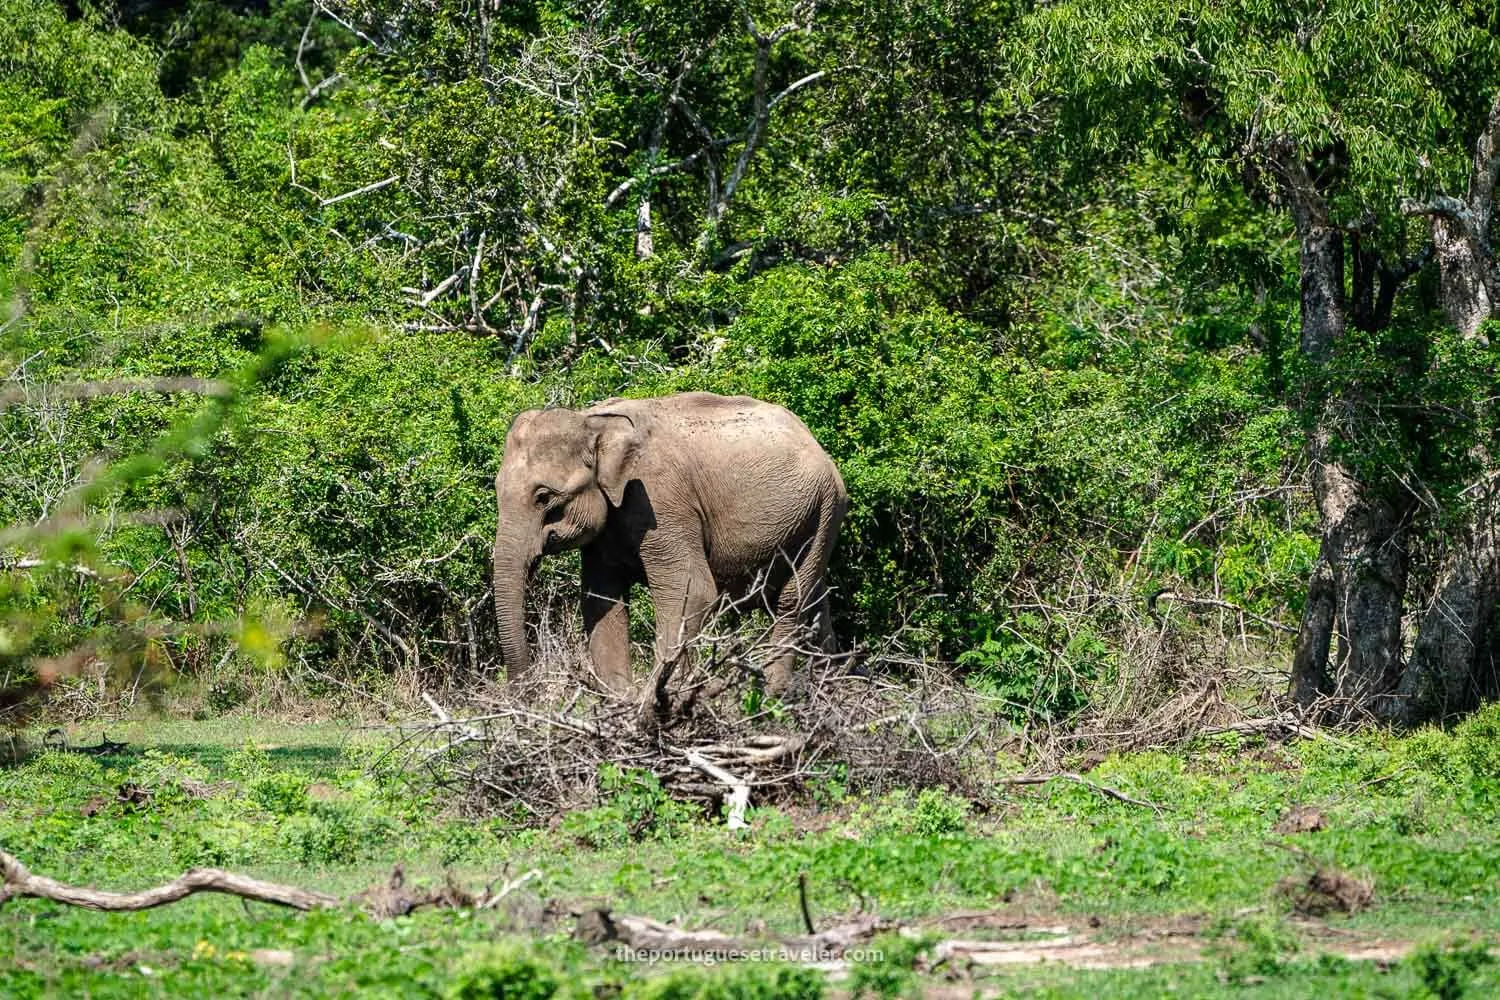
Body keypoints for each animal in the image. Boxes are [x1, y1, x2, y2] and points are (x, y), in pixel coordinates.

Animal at [491, 392, 847, 703]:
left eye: (543, 497)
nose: (527, 697)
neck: (593, 422)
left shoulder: (659, 499)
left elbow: (691, 590)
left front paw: (659, 700)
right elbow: (601, 599)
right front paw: (624, 701)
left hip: (825, 510)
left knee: (791, 600)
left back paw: (774, 699)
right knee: (816, 600)